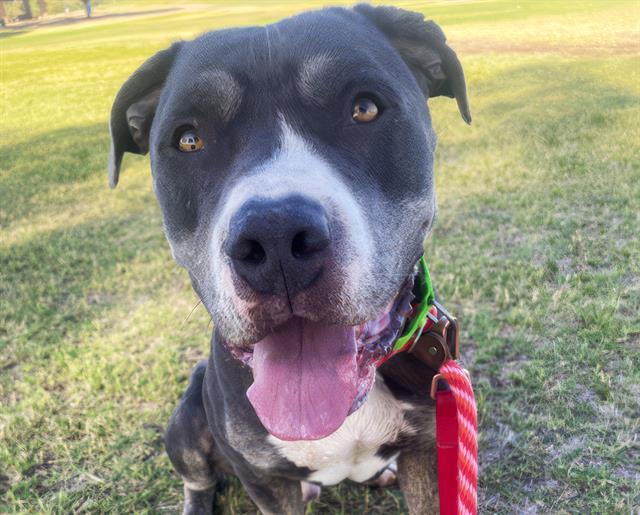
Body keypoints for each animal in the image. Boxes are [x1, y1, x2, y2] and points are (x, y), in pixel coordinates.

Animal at [109, 5, 470, 515]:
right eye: (189, 139)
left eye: (365, 108)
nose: (275, 236)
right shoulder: (263, 478)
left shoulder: (427, 447)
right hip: (186, 420)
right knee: (197, 477)